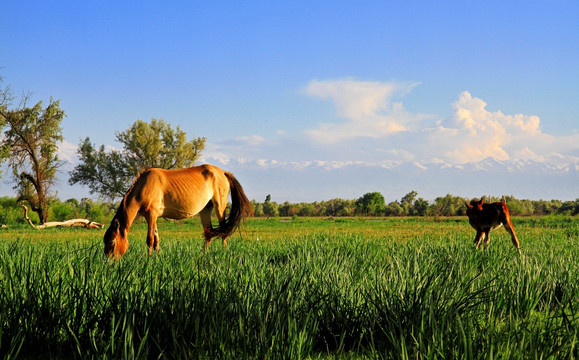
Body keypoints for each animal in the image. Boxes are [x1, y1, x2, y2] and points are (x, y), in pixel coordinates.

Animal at [104, 165, 254, 258]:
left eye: (112, 242)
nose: (108, 261)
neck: (145, 185)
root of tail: (223, 172)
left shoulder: (151, 215)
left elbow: (150, 239)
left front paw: (148, 259)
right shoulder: (152, 217)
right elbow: (157, 238)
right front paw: (157, 257)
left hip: (219, 206)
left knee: (223, 231)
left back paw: (224, 252)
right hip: (206, 209)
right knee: (209, 233)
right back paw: (202, 254)